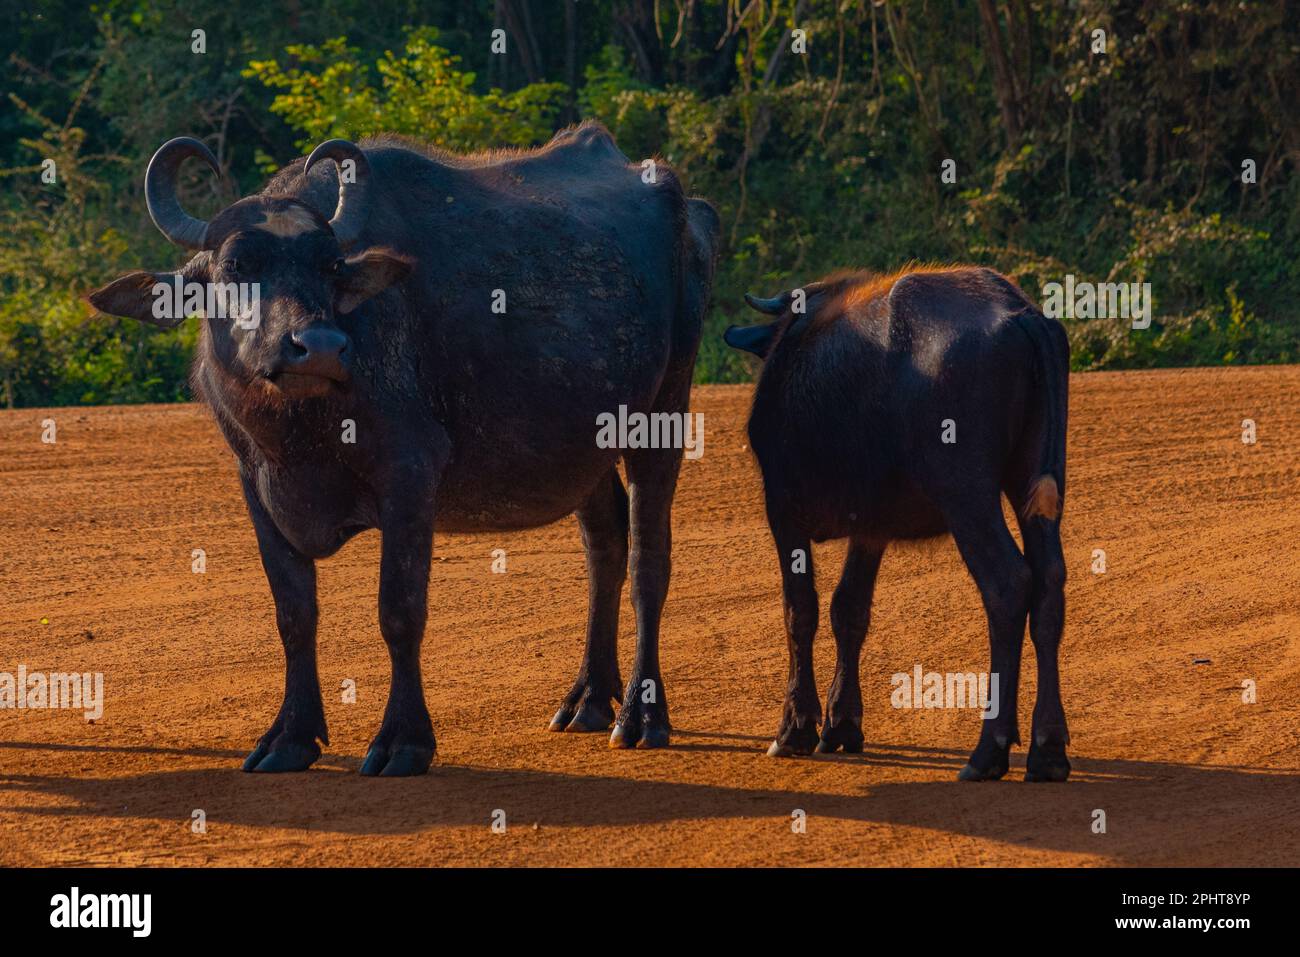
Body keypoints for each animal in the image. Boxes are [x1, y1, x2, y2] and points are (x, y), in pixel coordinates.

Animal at [89, 122, 719, 775]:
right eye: (236, 264)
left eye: (331, 265)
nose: (317, 346)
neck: (303, 429)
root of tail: (687, 208)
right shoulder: (255, 482)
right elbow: (294, 614)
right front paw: (290, 736)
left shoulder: (410, 475)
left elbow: (400, 609)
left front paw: (403, 740)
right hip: (585, 447)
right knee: (605, 548)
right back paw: (589, 699)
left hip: (664, 412)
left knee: (649, 560)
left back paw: (641, 715)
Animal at [725, 266, 1071, 782]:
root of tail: (1019, 313)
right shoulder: (870, 530)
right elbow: (849, 610)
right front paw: (842, 725)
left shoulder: (782, 513)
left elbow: (799, 611)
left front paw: (795, 729)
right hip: (1034, 488)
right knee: (1049, 585)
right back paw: (1048, 750)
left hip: (968, 497)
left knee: (1008, 585)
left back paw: (987, 751)